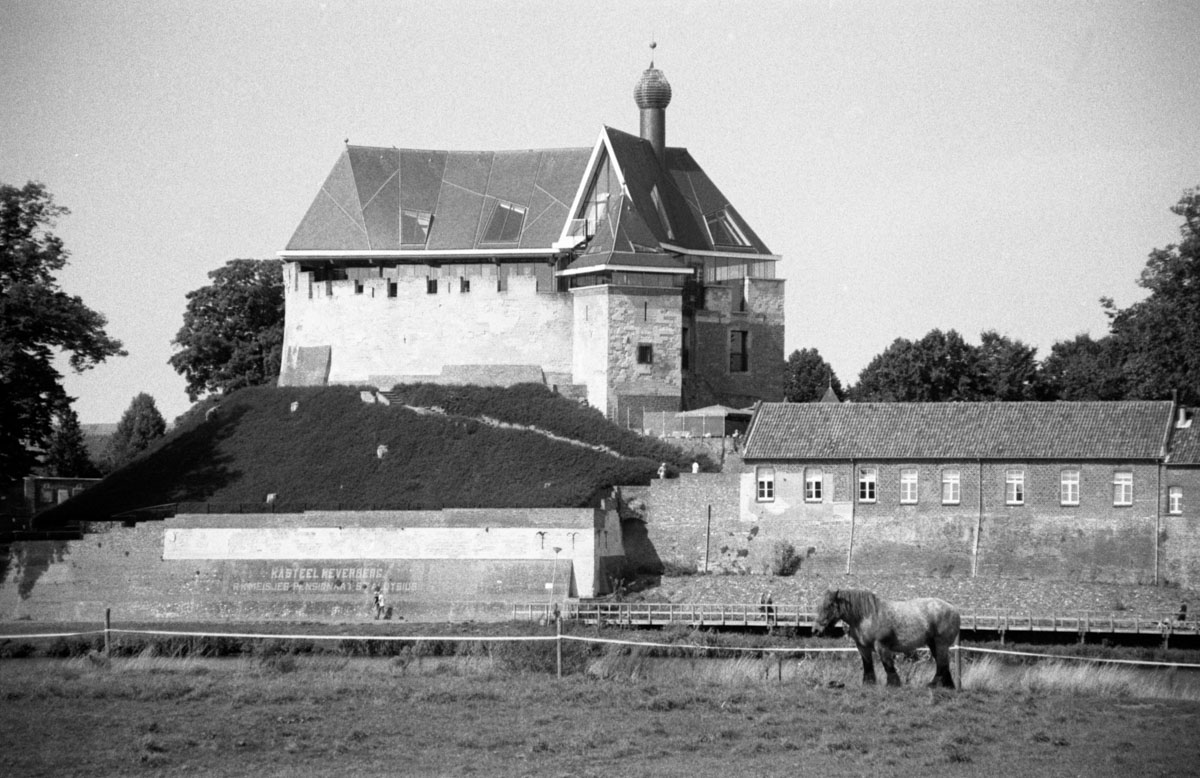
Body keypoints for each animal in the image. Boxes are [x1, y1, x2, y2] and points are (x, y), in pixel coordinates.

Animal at [811, 585, 960, 691]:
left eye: (828, 606)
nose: (815, 630)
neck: (866, 616)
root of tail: (954, 609)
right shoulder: (862, 647)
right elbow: (868, 666)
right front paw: (868, 684)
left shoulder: (881, 646)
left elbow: (887, 665)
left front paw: (893, 684)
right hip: (933, 644)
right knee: (943, 664)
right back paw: (948, 686)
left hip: (940, 644)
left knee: (942, 665)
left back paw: (932, 685)